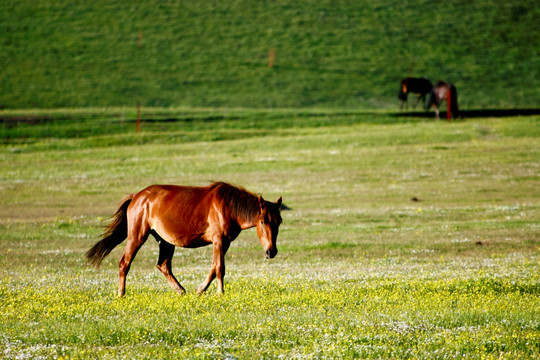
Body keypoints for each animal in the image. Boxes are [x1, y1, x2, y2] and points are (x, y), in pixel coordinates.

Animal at [85, 181, 282, 296]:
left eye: (279, 221)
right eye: (263, 221)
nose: (271, 252)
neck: (228, 207)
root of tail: (136, 197)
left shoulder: (224, 242)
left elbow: (213, 268)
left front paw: (200, 289)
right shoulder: (218, 241)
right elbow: (220, 268)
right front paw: (221, 292)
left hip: (165, 241)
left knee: (163, 265)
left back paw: (180, 290)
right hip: (137, 236)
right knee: (124, 262)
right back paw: (121, 294)